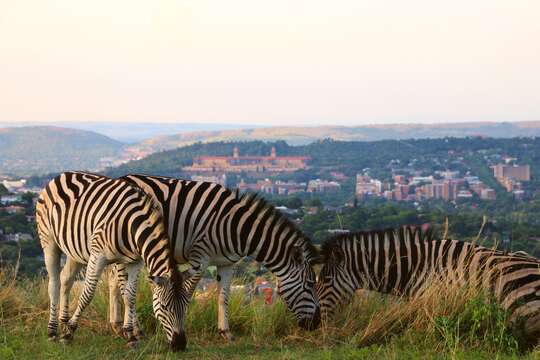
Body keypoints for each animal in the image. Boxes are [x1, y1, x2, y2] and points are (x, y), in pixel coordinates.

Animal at [34, 173, 191, 350]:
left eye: (186, 305)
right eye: (164, 306)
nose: (180, 345)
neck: (132, 225)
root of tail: (62, 175)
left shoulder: (135, 261)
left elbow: (130, 296)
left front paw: (131, 336)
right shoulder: (98, 254)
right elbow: (88, 294)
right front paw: (70, 332)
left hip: (75, 251)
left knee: (66, 279)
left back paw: (63, 323)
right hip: (48, 241)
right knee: (54, 283)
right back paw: (52, 331)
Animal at [107, 173, 322, 338]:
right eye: (310, 284)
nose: (317, 323)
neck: (236, 227)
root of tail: (122, 178)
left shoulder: (227, 263)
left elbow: (223, 297)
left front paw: (225, 332)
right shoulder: (200, 258)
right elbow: (187, 293)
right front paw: (182, 327)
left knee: (112, 281)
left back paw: (116, 326)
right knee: (123, 285)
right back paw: (135, 329)